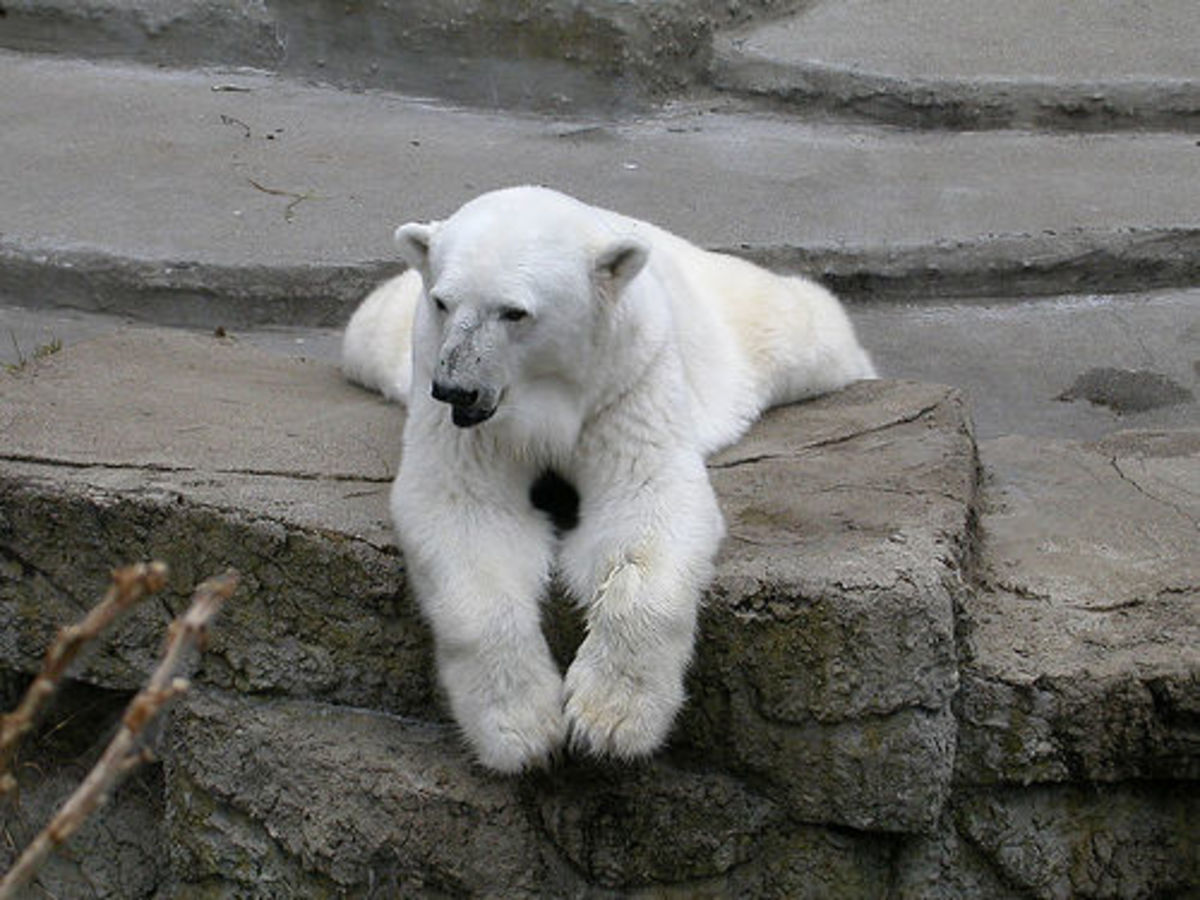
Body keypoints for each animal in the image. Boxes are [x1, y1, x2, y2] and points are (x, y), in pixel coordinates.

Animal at [342, 186, 876, 773]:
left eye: (514, 312)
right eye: (443, 302)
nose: (454, 388)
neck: (543, 394)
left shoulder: (627, 377)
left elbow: (646, 501)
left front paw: (609, 721)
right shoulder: (458, 406)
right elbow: (466, 513)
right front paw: (522, 729)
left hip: (750, 324)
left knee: (809, 322)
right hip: (380, 335)